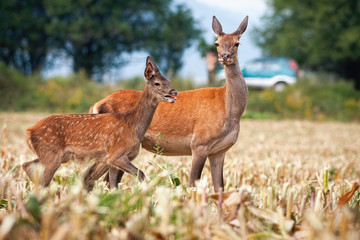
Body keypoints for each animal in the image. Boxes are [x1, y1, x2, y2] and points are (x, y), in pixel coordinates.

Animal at [22, 56, 177, 189]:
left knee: (27, 165)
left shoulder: (112, 160)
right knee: (40, 177)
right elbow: (141, 174)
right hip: (51, 153)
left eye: (169, 81)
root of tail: (29, 131)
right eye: (157, 83)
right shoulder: (116, 154)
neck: (133, 124)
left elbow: (113, 185)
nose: (174, 92)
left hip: (53, 155)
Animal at [88, 15, 249, 192]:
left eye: (237, 43)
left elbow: (220, 188)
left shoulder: (219, 151)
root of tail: (96, 105)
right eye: (217, 43)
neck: (230, 110)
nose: (224, 56)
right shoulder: (199, 143)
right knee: (105, 180)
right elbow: (192, 184)